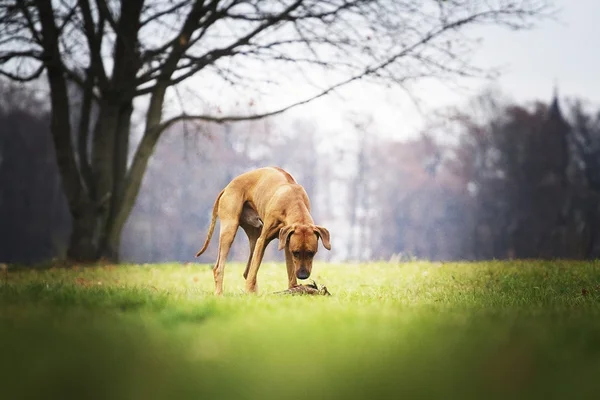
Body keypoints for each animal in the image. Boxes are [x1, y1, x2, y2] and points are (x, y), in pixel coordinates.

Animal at [197, 166, 330, 294]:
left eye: (311, 253)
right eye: (296, 253)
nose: (303, 276)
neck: (293, 200)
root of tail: (227, 187)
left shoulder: (287, 242)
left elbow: (291, 273)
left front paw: (294, 289)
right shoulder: (264, 240)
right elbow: (254, 270)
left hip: (255, 232)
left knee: (247, 271)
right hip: (230, 228)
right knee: (221, 268)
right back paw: (220, 294)